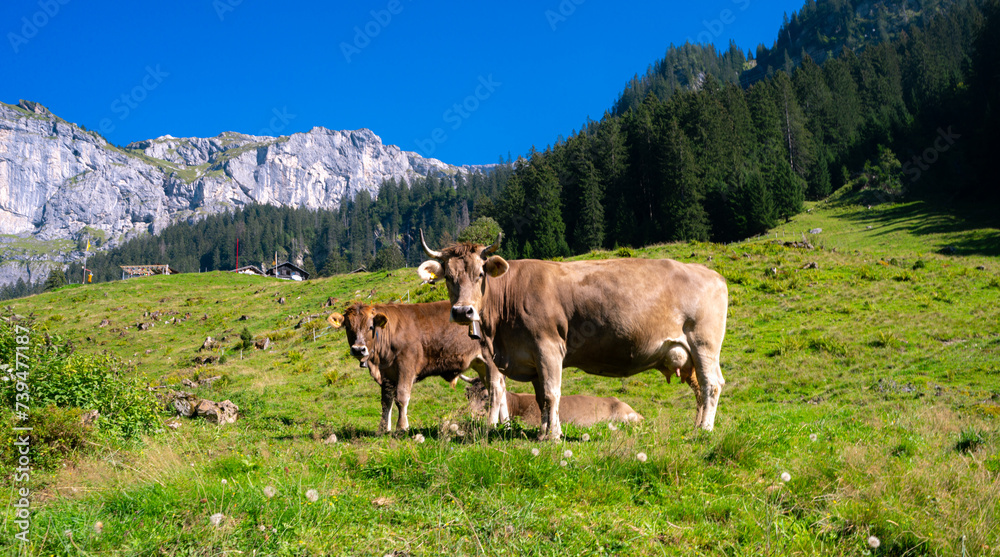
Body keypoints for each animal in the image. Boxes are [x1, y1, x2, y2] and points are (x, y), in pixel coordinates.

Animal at [327, 301, 508, 434]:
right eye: (348, 327)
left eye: (371, 327)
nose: (358, 349)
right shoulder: (387, 373)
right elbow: (386, 401)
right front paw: (383, 429)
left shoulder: (406, 366)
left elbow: (401, 397)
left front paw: (402, 427)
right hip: (481, 364)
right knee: (501, 390)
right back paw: (505, 424)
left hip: (490, 361)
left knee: (494, 391)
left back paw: (490, 424)